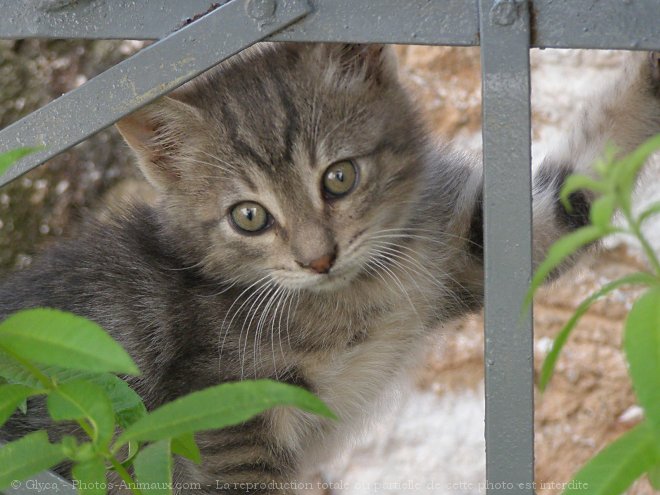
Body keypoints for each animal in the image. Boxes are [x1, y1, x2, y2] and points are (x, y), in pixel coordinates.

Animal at [3, 44, 660, 494]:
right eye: (248, 216)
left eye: (339, 177)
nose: (318, 257)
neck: (352, 294)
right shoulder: (224, 406)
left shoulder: (465, 249)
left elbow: (575, 193)